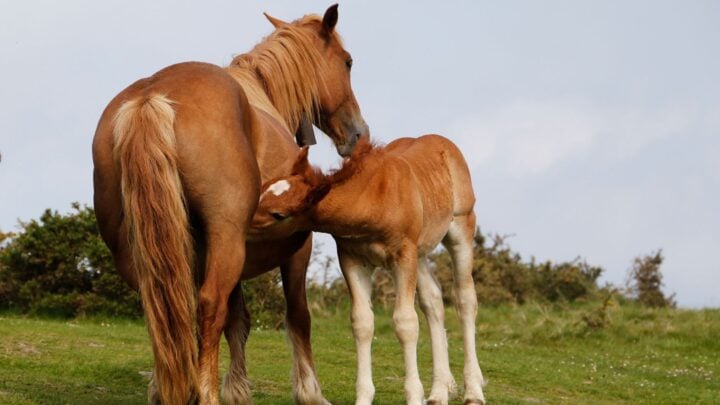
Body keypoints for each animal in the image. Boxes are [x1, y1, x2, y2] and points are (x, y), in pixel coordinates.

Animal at [92, 5, 368, 404]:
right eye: (347, 62)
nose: (358, 134)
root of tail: (151, 96)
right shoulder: (296, 247)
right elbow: (298, 316)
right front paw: (310, 392)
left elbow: (238, 321)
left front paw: (237, 389)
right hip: (227, 238)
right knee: (209, 305)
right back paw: (204, 392)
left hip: (143, 250)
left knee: (163, 309)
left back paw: (168, 387)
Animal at [249, 135, 486, 405]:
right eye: (264, 188)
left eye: (278, 214)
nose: (242, 220)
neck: (373, 199)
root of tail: (444, 142)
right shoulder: (352, 259)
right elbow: (362, 322)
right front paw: (364, 396)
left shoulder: (403, 256)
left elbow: (405, 322)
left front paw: (414, 395)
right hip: (421, 251)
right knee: (433, 300)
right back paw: (438, 392)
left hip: (461, 228)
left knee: (465, 299)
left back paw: (473, 391)